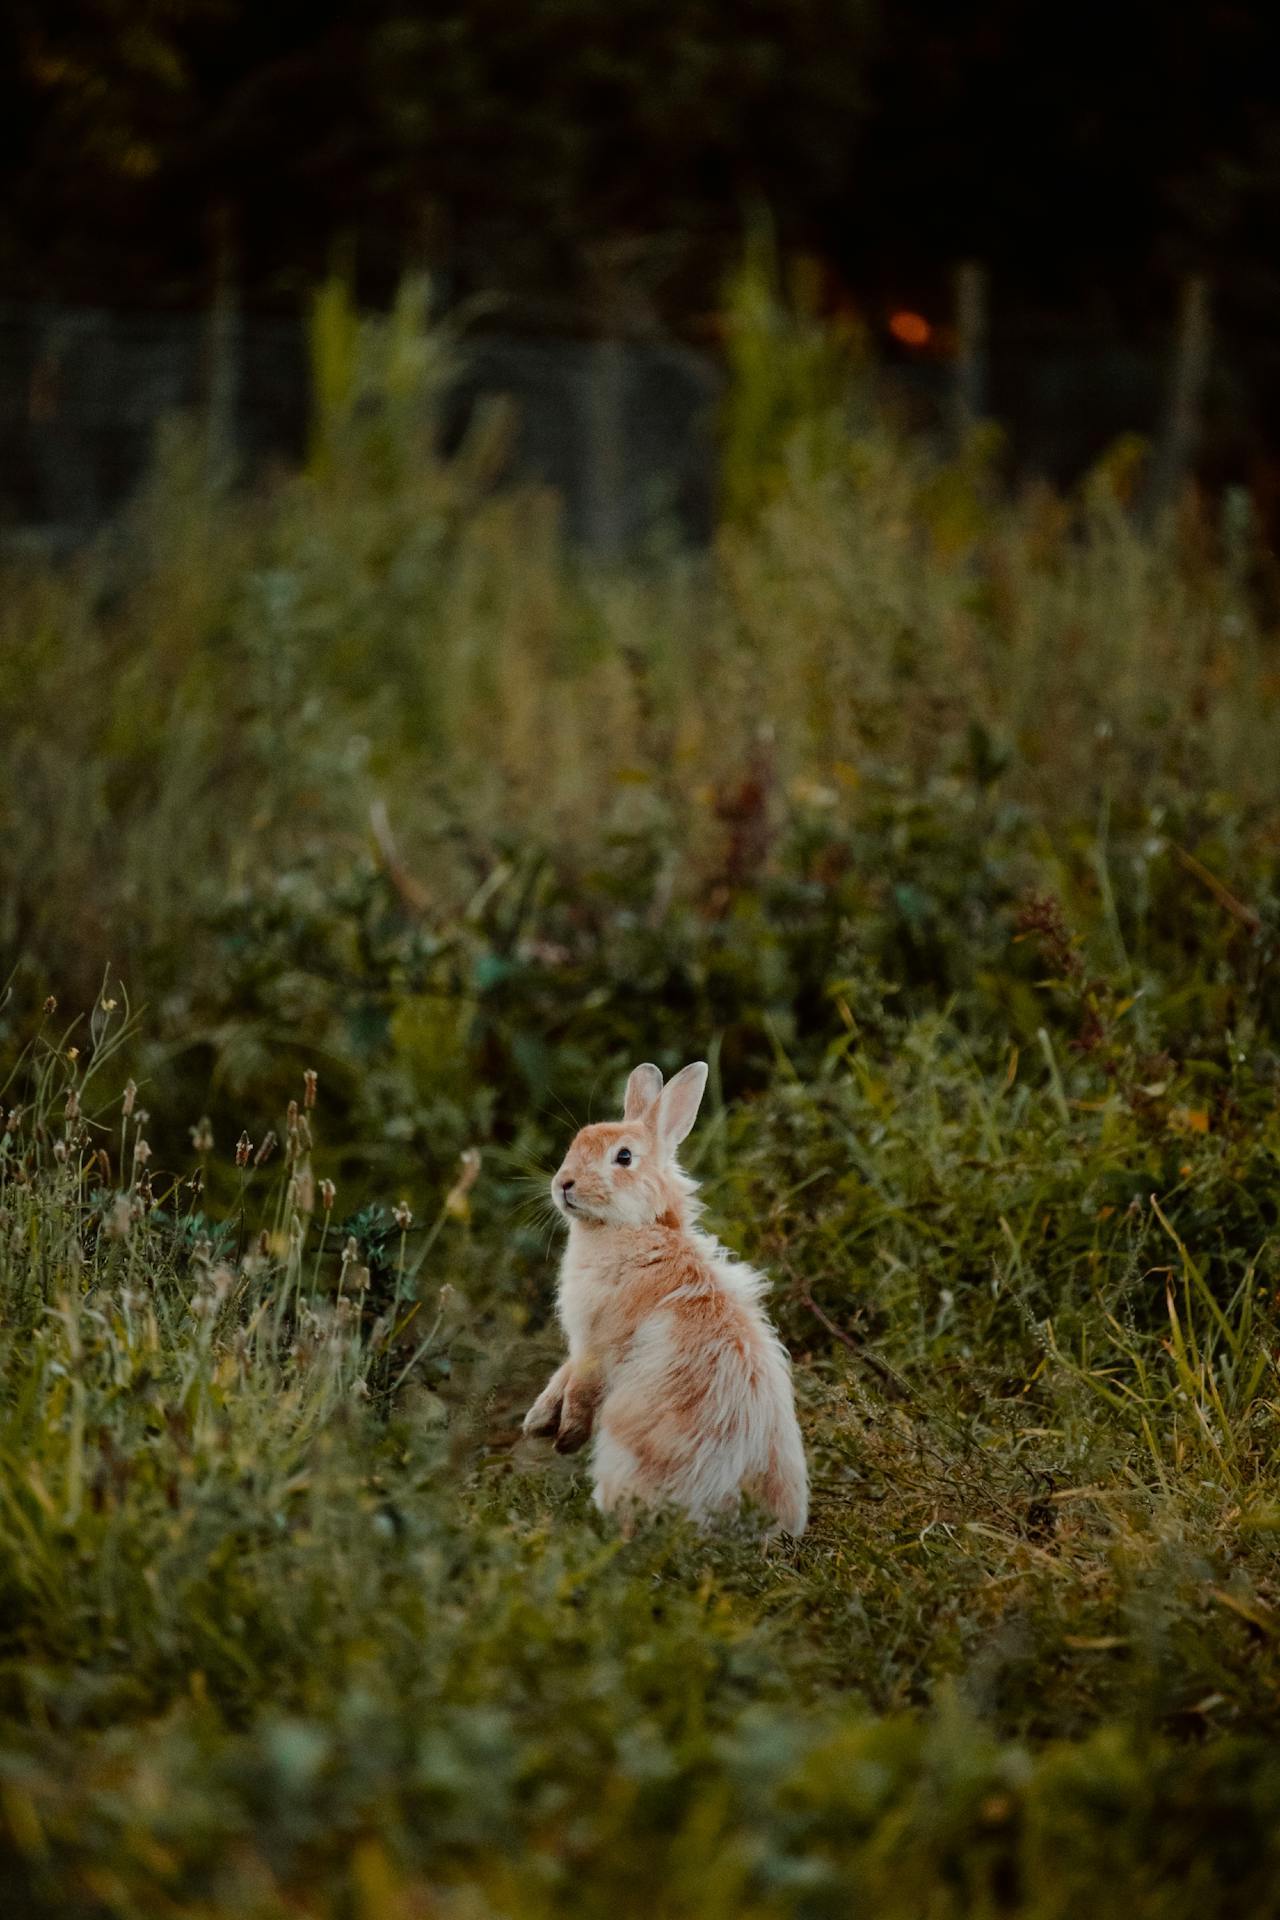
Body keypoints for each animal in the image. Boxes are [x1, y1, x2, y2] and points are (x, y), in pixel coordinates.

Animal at [522, 1059, 808, 1536]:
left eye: (623, 1157)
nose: (563, 1184)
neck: (638, 1229)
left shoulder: (596, 1343)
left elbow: (580, 1387)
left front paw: (565, 1437)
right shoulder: (581, 1344)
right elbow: (561, 1376)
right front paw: (537, 1423)